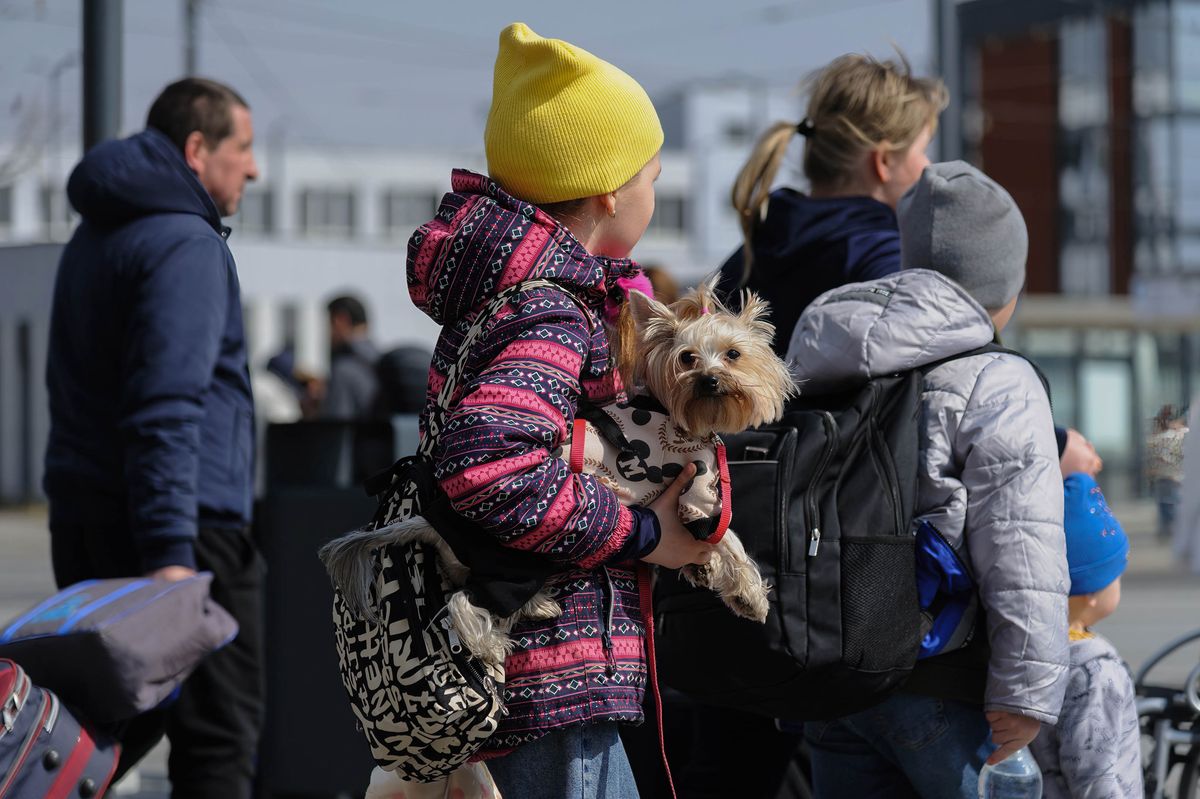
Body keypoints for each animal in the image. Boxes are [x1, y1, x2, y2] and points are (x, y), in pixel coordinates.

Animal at [324, 279, 801, 667]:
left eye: (734, 355)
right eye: (686, 359)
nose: (709, 380)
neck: (682, 417)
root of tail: (432, 519)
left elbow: (721, 544)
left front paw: (706, 573)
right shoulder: (697, 496)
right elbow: (728, 538)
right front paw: (749, 595)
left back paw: (536, 608)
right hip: (512, 560)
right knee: (464, 604)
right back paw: (496, 641)